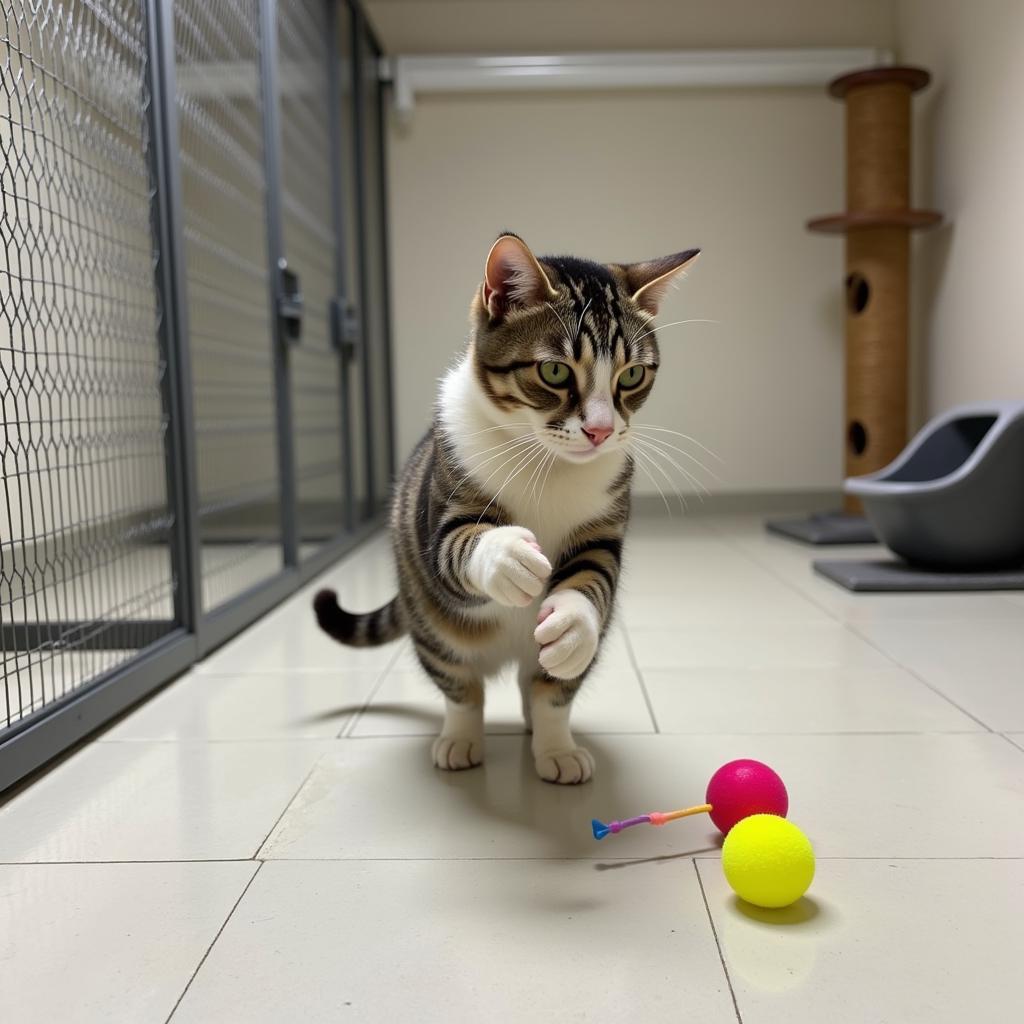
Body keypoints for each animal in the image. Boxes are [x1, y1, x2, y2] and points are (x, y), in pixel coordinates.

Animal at [315, 234, 700, 782]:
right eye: (555, 370)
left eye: (632, 376)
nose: (601, 431)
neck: (548, 464)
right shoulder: (443, 511)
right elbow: (459, 545)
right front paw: (508, 558)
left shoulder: (604, 527)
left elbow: (593, 576)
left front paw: (573, 625)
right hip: (432, 628)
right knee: (460, 688)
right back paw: (459, 740)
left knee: (547, 690)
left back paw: (554, 744)